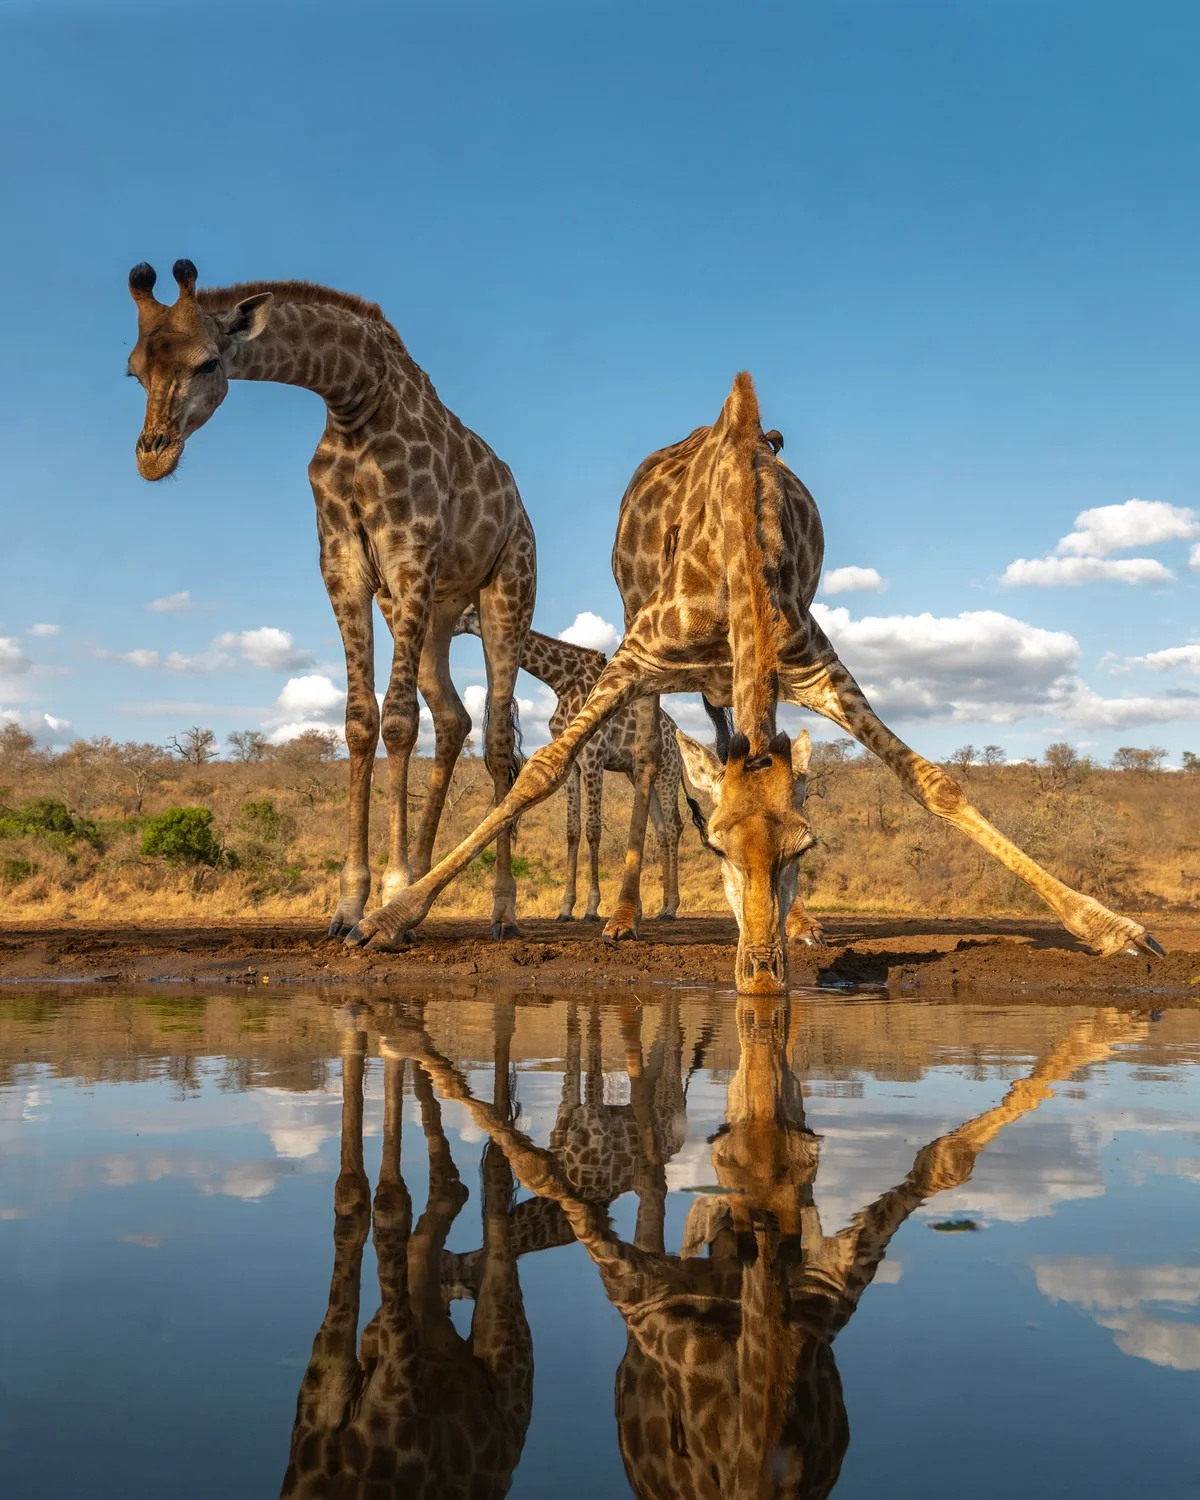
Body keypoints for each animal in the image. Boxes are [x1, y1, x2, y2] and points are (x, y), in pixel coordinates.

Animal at [125, 259, 536, 940]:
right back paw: (419, 899)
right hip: (436, 610)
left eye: (208, 362)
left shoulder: (407, 554)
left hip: (508, 589)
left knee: (499, 736)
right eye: (133, 369)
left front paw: (388, 894)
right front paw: (353, 907)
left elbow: (398, 722)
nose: (153, 456)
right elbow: (360, 720)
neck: (353, 399)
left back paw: (499, 911)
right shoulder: (342, 564)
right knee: (454, 716)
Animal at [279, 1006, 533, 1498]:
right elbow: (351, 1193)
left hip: (506, 1349)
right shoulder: (331, 1380)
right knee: (449, 1193)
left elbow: (391, 1202)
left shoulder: (399, 1383)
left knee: (495, 1174)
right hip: (414, 1314)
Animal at [455, 606, 686, 921]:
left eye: (466, 612)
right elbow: (572, 831)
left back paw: (672, 907)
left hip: (667, 773)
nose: (446, 625)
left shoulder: (593, 757)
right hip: (638, 776)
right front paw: (566, 908)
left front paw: (592, 907)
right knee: (661, 830)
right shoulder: (573, 766)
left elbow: (593, 830)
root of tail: (677, 737)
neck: (561, 683)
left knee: (674, 827)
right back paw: (662, 907)